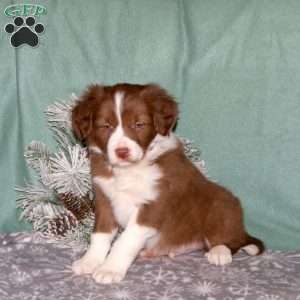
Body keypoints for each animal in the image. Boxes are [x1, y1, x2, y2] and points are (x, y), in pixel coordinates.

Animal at [70, 82, 262, 284]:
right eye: (106, 126)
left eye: (139, 124)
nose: (122, 152)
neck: (128, 170)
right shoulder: (104, 199)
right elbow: (100, 235)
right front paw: (89, 261)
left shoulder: (154, 205)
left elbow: (125, 240)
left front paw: (110, 269)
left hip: (221, 204)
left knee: (233, 240)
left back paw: (220, 252)